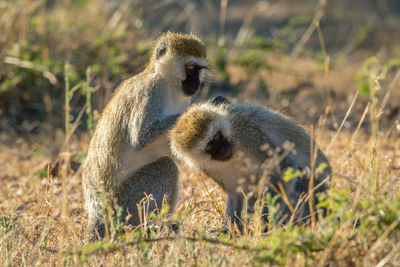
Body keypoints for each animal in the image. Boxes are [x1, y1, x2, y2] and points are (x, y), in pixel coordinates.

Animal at [80, 31, 208, 241]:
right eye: (190, 69)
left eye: (199, 70)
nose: (197, 83)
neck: (167, 83)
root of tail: (96, 214)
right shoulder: (150, 92)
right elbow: (142, 136)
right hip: (124, 203)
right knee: (166, 166)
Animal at [169, 96, 332, 232]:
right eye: (209, 145)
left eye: (217, 136)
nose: (223, 148)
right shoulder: (206, 166)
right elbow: (238, 192)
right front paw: (230, 230)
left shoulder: (248, 133)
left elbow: (285, 167)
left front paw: (269, 223)